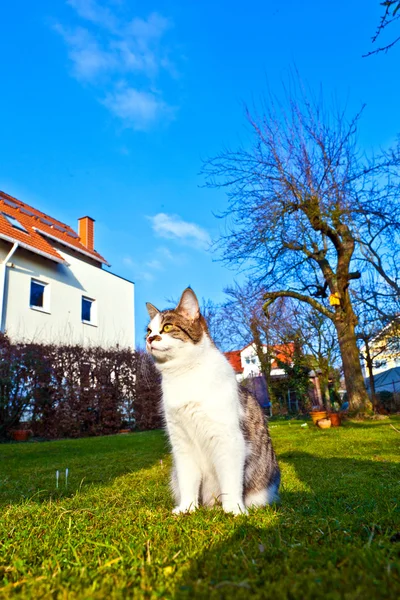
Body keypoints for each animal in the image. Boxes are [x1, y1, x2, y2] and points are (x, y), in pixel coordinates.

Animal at [145, 288, 280, 512]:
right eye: (148, 330)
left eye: (167, 327)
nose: (150, 338)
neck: (183, 375)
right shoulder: (181, 442)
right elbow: (187, 480)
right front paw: (187, 508)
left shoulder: (228, 438)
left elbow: (231, 481)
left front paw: (234, 510)